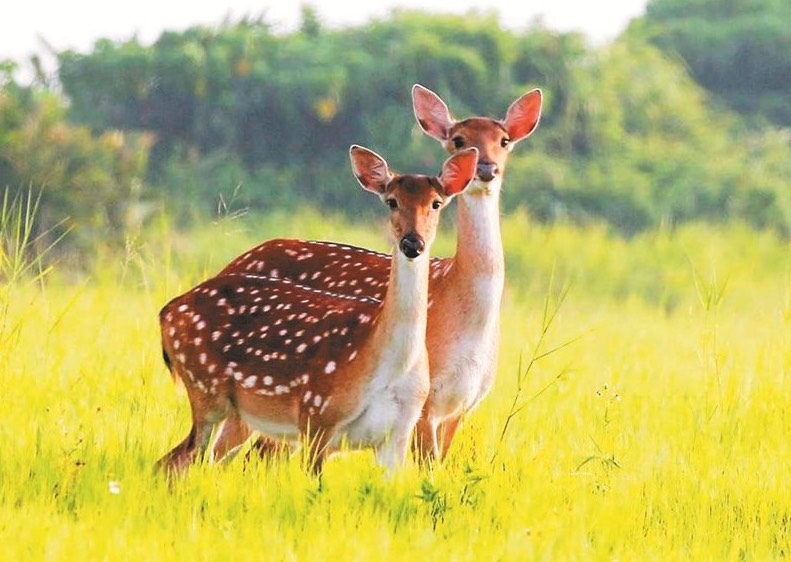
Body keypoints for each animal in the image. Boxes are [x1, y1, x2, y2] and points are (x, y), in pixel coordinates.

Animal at [154, 144, 476, 472]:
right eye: (392, 202)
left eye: (436, 203)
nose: (413, 243)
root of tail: (166, 311)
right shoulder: (317, 415)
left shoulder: (399, 432)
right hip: (205, 388)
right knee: (175, 461)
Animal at [212, 82, 544, 460]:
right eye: (459, 139)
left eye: (504, 140)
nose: (486, 168)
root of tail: (230, 265)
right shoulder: (424, 401)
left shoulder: (462, 406)